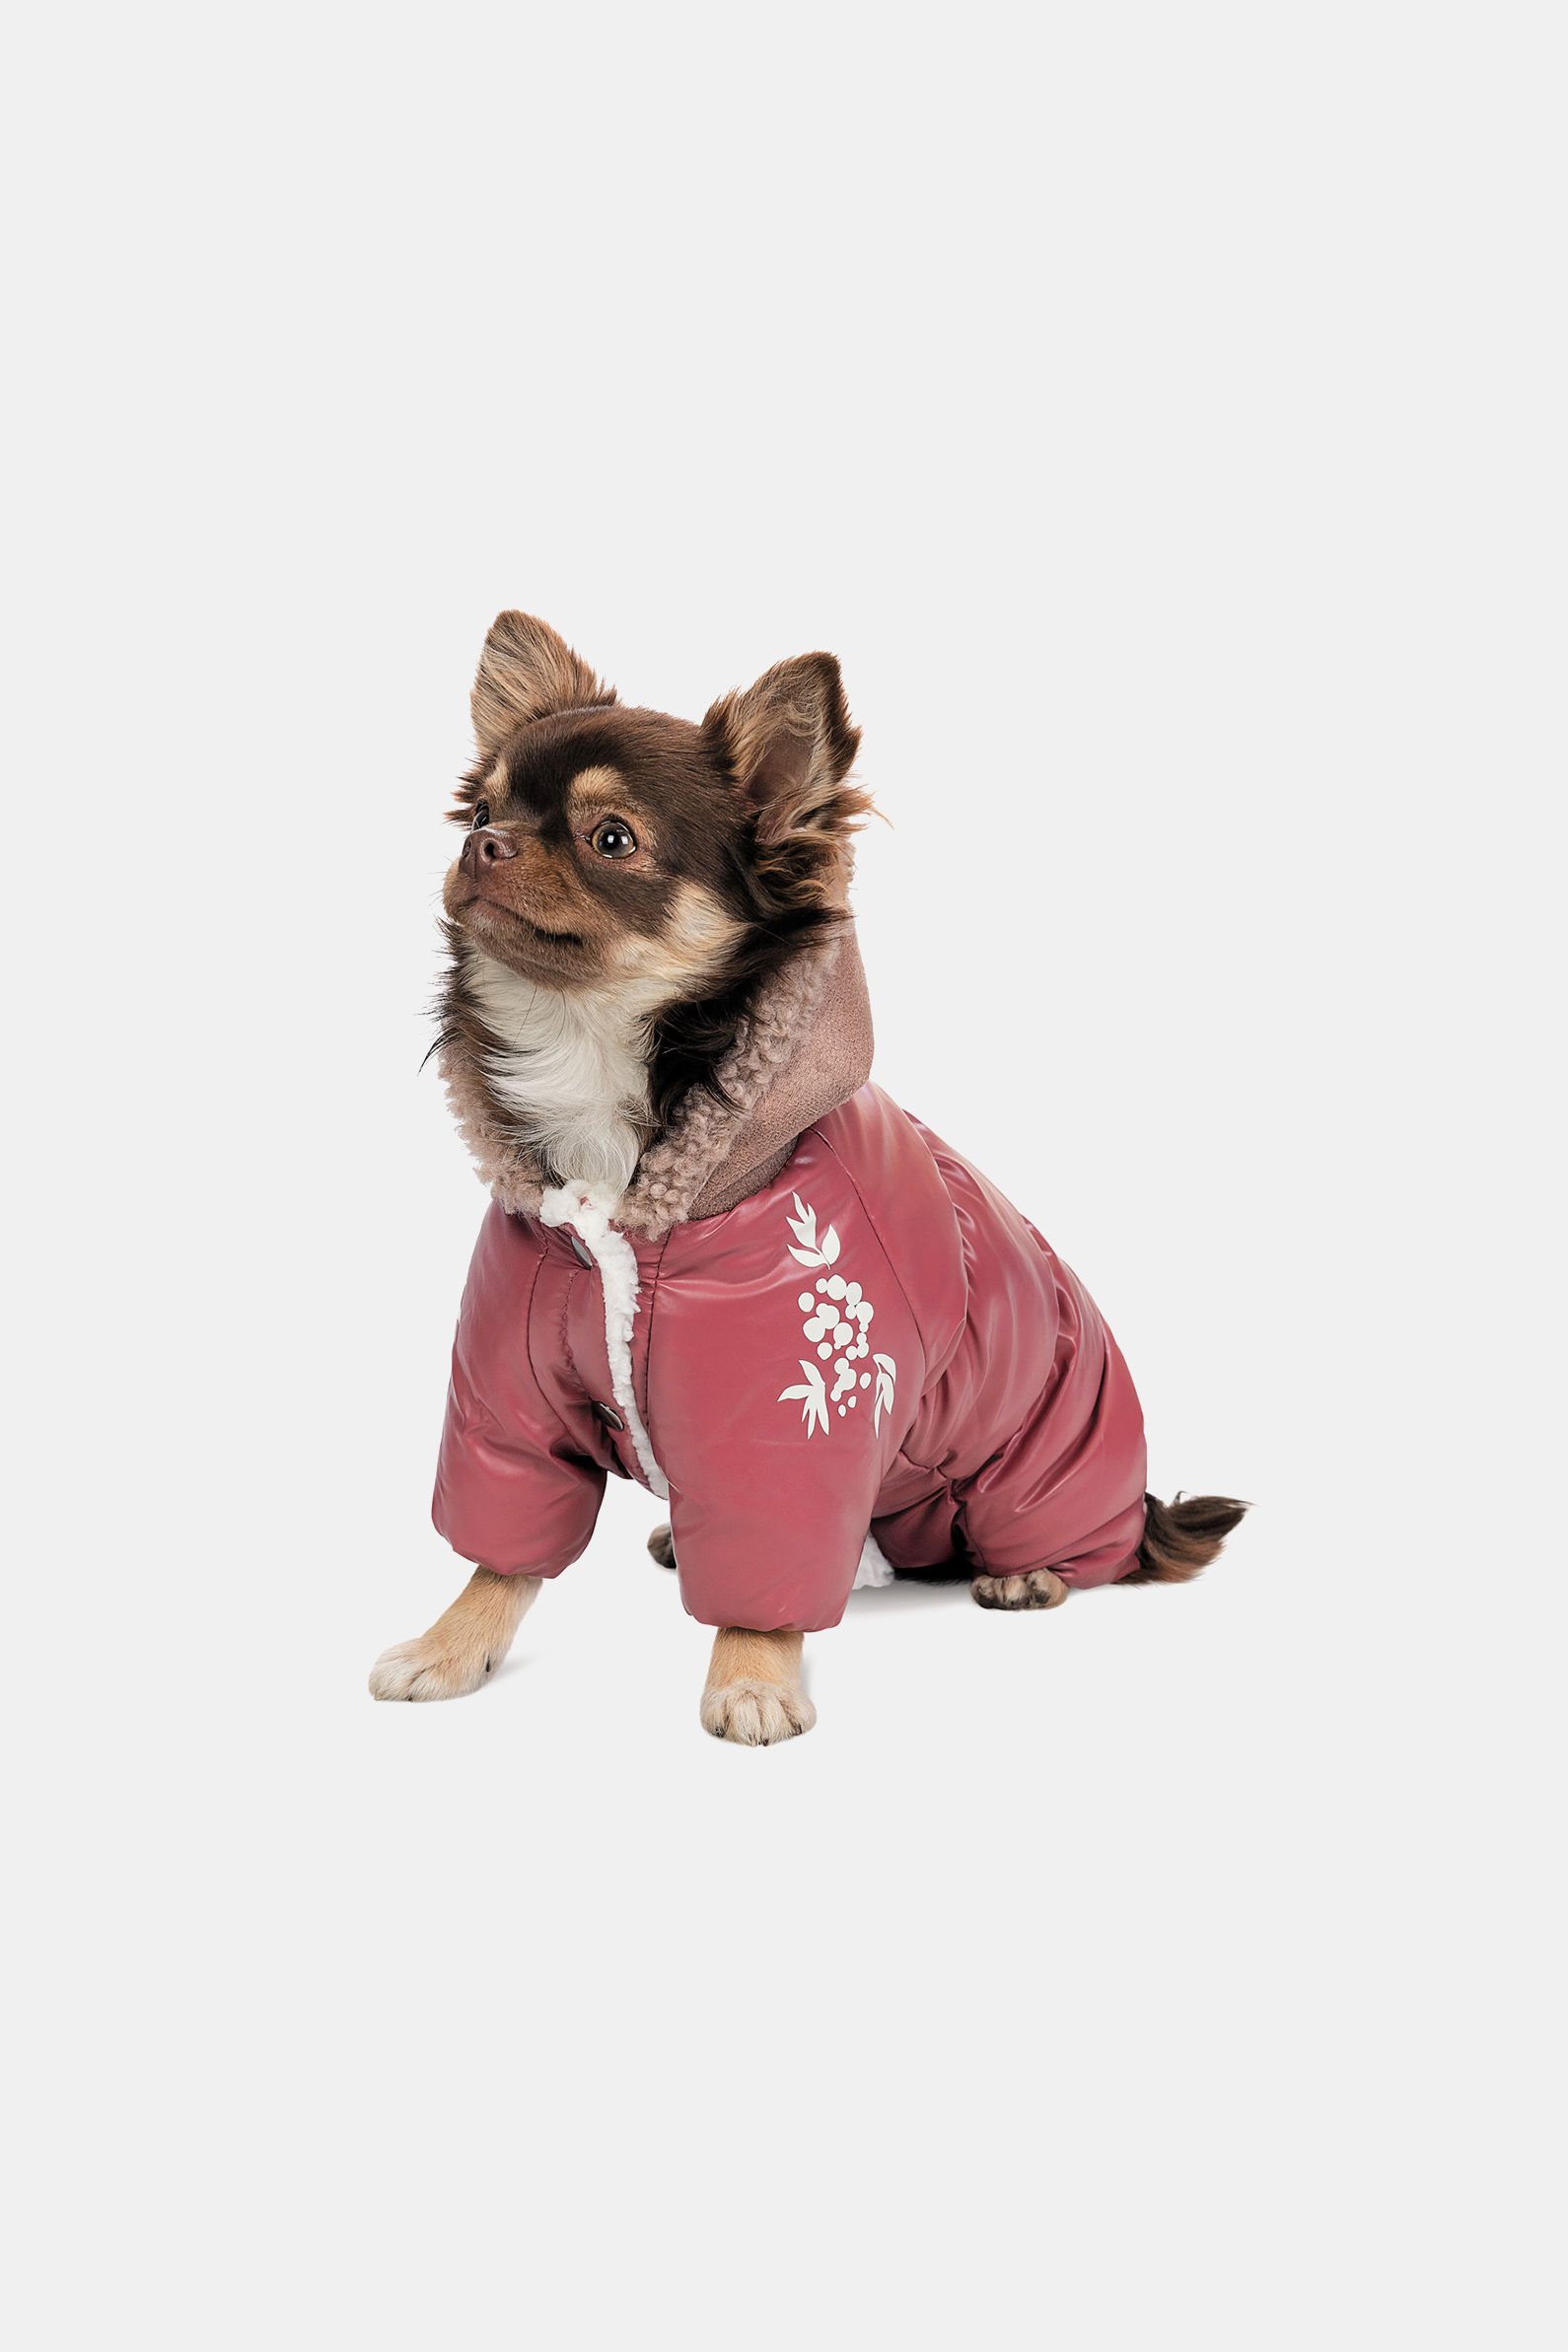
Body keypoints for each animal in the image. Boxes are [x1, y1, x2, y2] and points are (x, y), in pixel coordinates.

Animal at [369, 612, 1246, 1741]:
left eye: (612, 839)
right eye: (484, 809)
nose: (482, 845)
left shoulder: (787, 1428)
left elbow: (766, 1570)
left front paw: (751, 1675)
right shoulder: (506, 1400)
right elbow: (501, 1550)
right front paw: (451, 1646)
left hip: (1034, 1463)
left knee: (1072, 1547)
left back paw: (1033, 1572)